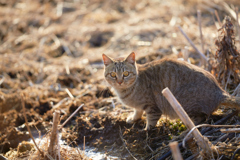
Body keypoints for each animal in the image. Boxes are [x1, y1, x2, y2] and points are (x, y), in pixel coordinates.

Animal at [102, 52, 240, 130]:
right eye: (113, 74)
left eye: (125, 73)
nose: (119, 81)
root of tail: (220, 92)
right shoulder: (139, 106)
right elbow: (137, 111)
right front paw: (134, 118)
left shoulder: (152, 106)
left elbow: (151, 120)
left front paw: (146, 130)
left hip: (184, 105)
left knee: (199, 118)